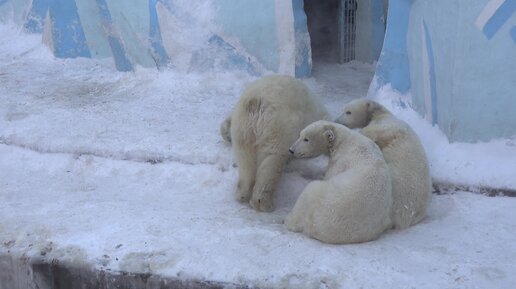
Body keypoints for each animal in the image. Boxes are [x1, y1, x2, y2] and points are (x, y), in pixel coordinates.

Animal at [222, 75, 326, 212]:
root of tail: (256, 102)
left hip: (243, 128)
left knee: (245, 160)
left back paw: (242, 194)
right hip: (277, 126)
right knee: (273, 158)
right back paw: (263, 202)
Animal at [334, 99, 432, 230]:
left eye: (348, 111)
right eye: (343, 109)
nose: (336, 120)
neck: (381, 113)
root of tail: (406, 215)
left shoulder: (383, 127)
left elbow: (370, 134)